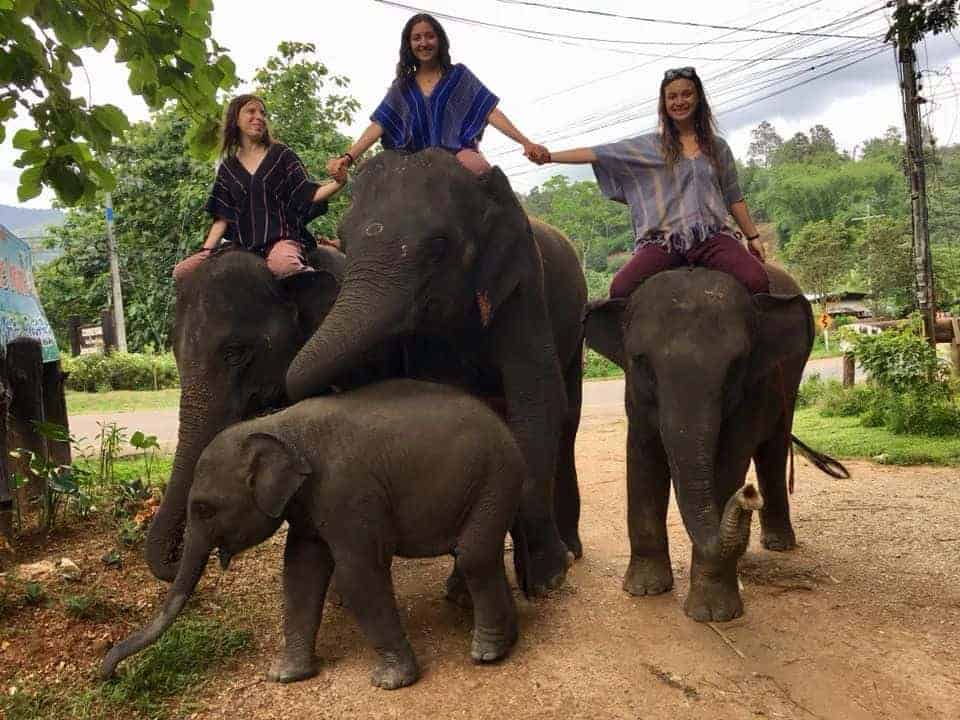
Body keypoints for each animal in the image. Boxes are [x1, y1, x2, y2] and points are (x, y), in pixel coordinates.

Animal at [101, 380, 524, 688]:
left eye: (204, 508)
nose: (110, 675)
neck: (277, 426)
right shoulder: (308, 506)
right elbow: (299, 572)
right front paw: (285, 675)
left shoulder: (347, 494)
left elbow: (359, 575)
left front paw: (391, 682)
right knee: (480, 555)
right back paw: (509, 640)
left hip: (495, 479)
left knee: (473, 555)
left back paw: (486, 654)